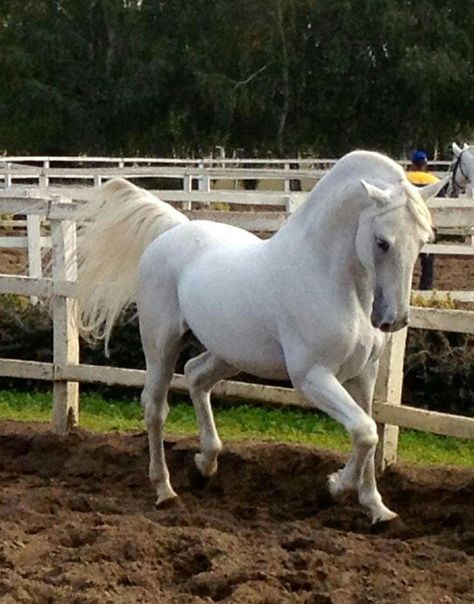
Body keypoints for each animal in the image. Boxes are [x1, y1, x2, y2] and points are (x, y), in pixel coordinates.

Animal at [74, 152, 444, 528]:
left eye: (423, 240)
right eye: (382, 242)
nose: (393, 320)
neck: (329, 280)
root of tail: (175, 229)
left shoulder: (363, 375)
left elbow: (370, 431)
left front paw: (378, 509)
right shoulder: (312, 377)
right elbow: (365, 431)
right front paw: (332, 488)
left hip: (230, 354)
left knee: (195, 375)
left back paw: (204, 466)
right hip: (161, 343)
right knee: (155, 407)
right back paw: (165, 490)